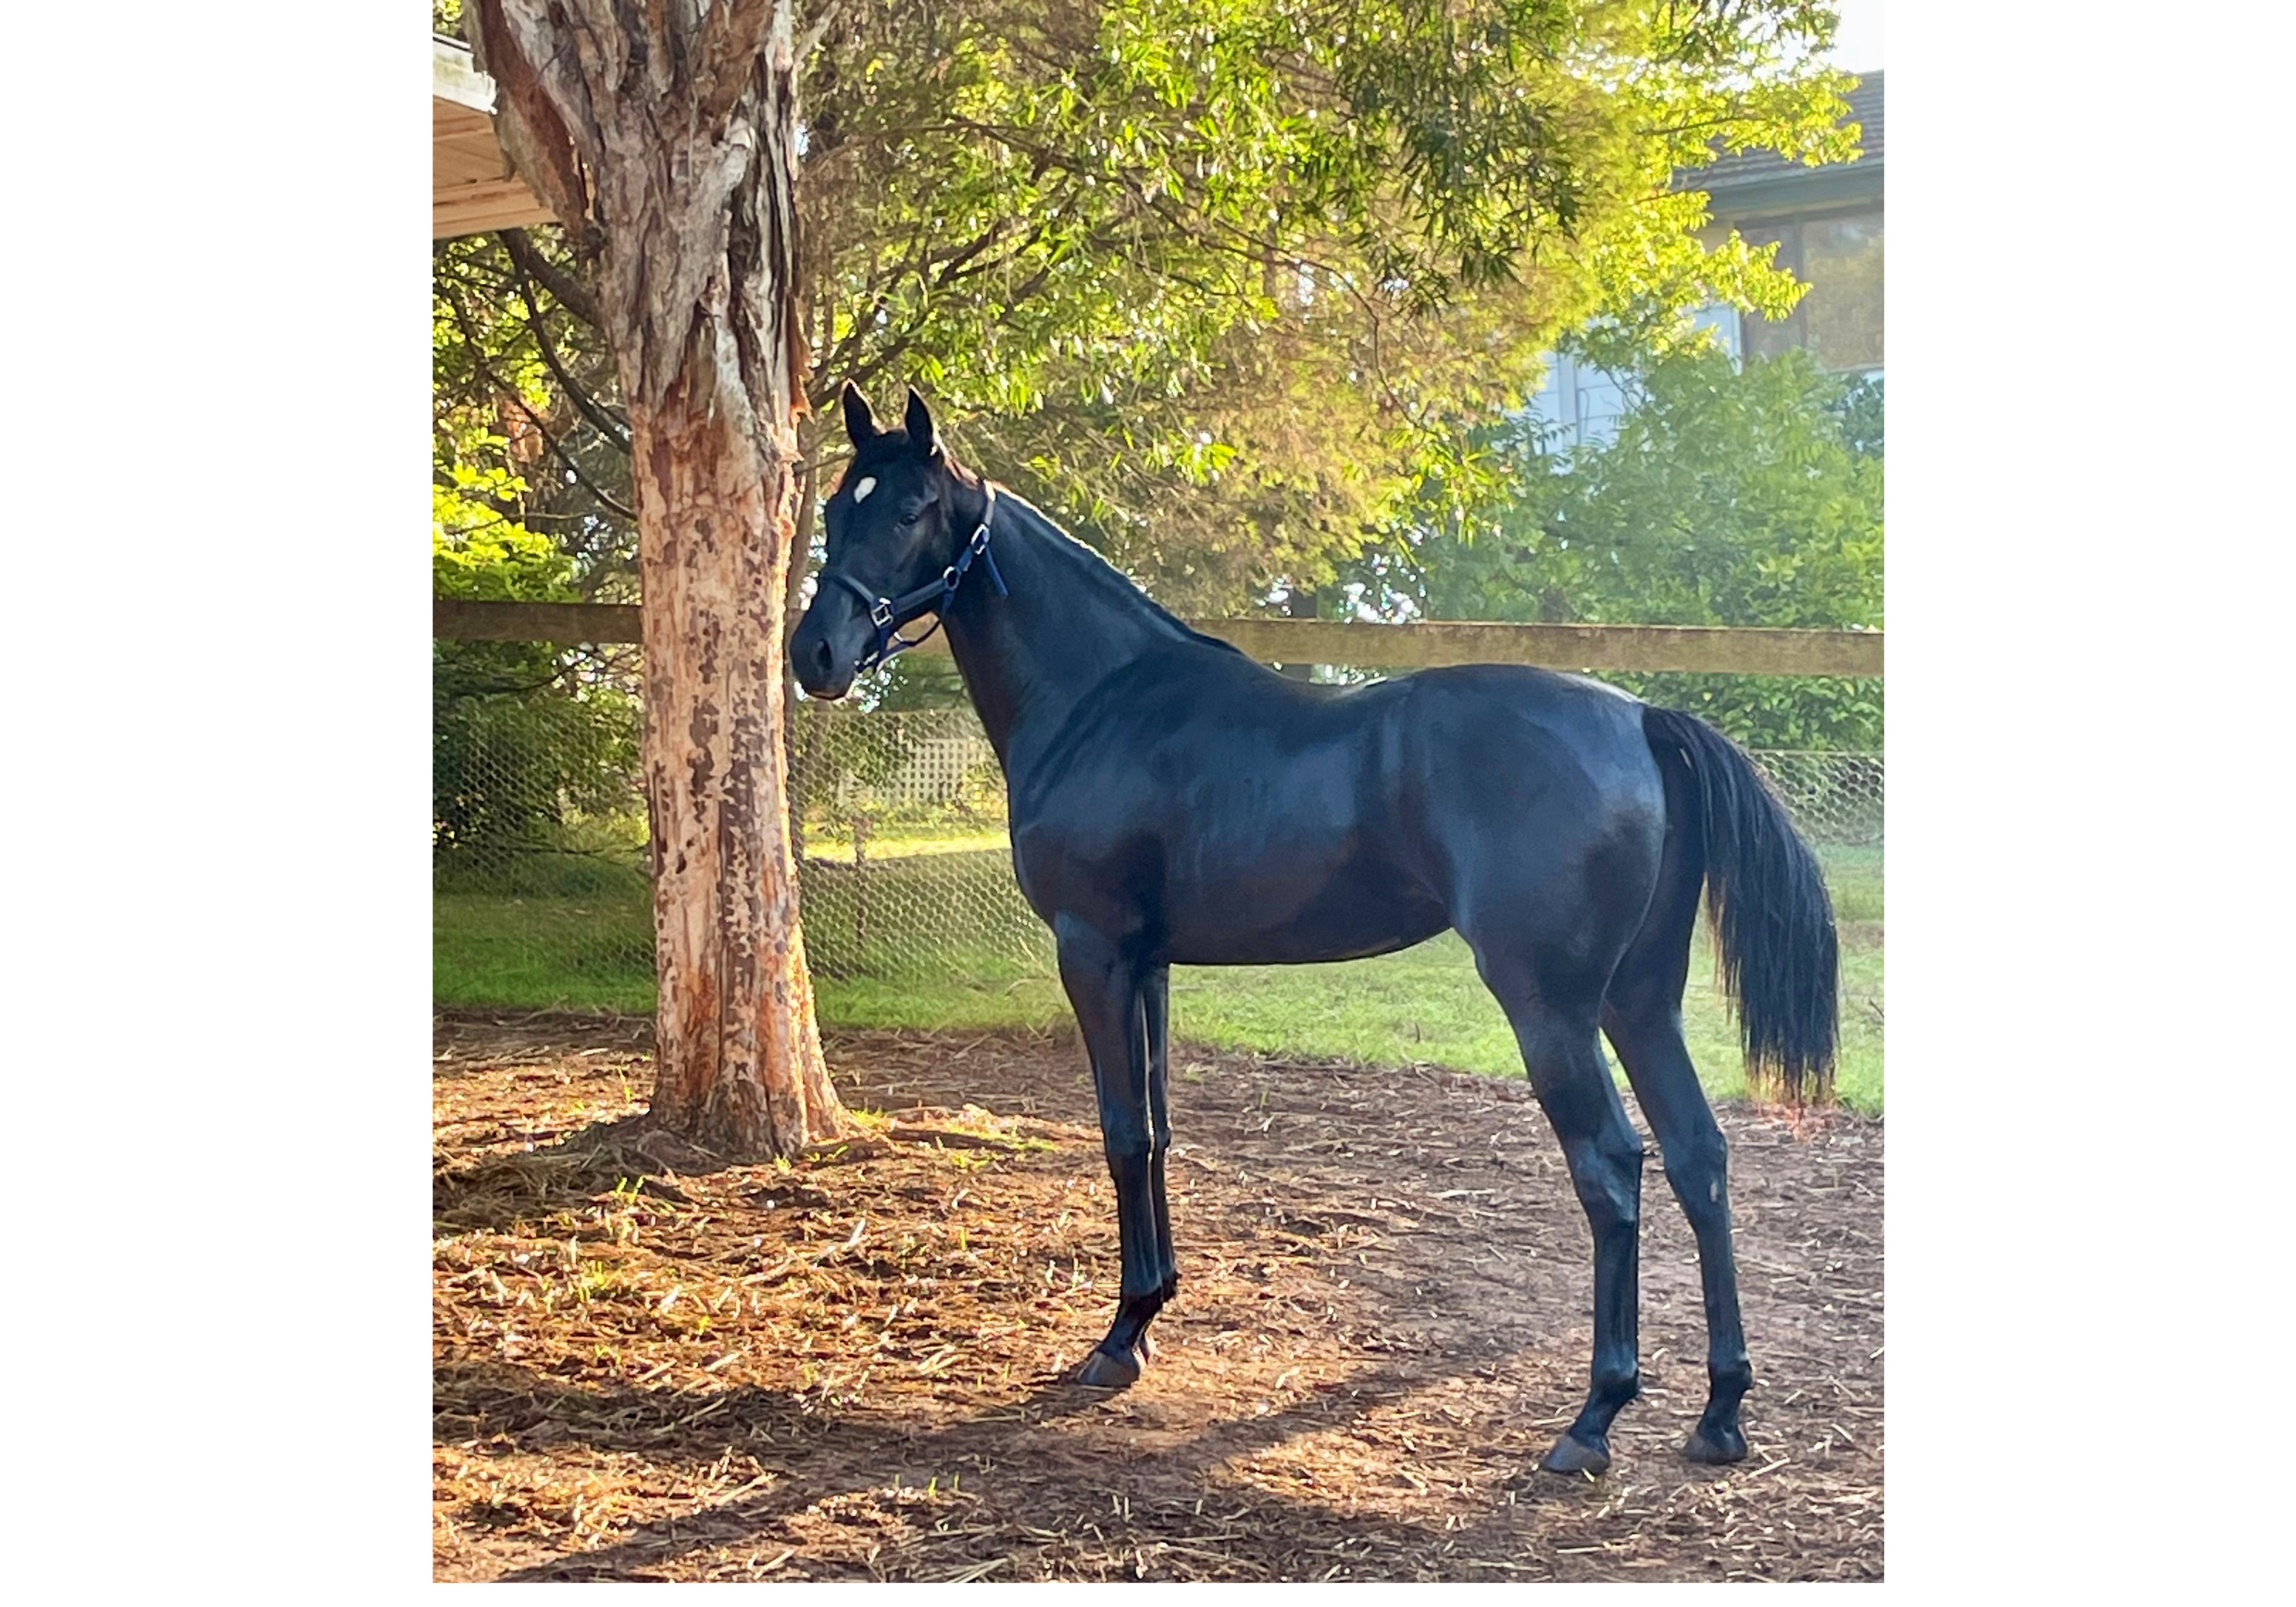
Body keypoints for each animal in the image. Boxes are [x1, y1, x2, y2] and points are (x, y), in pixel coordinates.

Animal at [790, 384, 1839, 1476]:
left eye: (910, 510)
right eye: (835, 506)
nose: (814, 653)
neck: (1101, 701)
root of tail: (1640, 717)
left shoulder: (1093, 950)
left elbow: (1122, 1131)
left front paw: (1117, 1339)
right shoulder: (1150, 964)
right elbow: (1158, 1129)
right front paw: (1151, 1311)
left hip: (1551, 1006)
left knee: (1612, 1166)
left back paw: (1593, 1417)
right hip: (1640, 1000)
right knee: (1698, 1154)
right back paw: (1720, 1411)